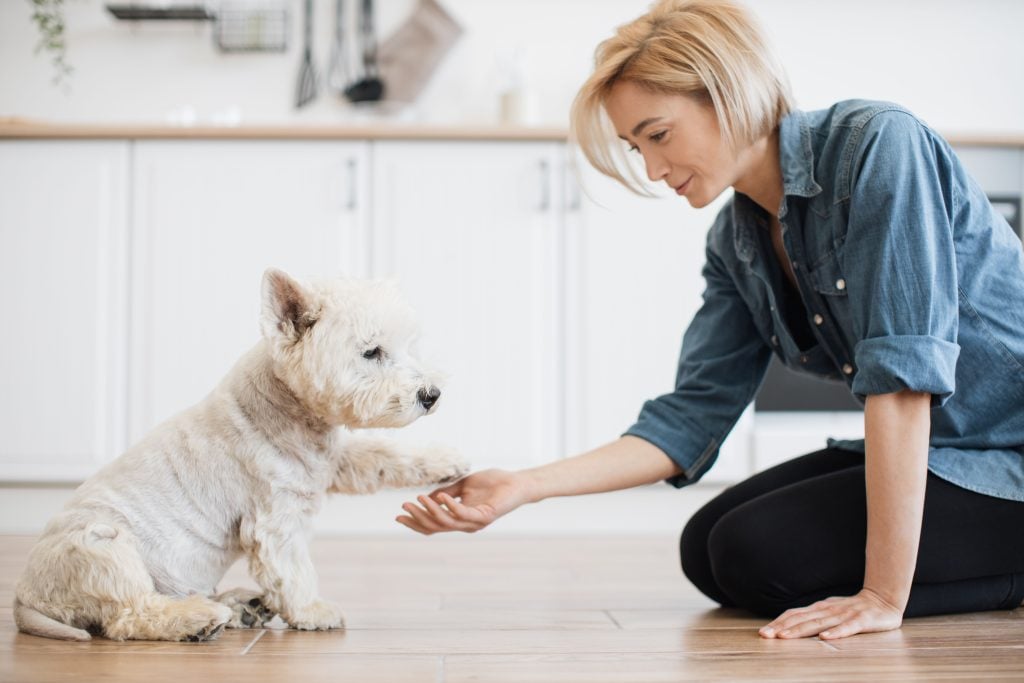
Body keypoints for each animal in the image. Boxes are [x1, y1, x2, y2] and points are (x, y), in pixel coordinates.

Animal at [12, 268, 468, 643]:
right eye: (371, 352)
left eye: (408, 347)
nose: (431, 395)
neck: (290, 409)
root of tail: (25, 598)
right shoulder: (275, 519)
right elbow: (292, 568)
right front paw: (312, 611)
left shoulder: (333, 462)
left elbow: (379, 454)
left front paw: (446, 462)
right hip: (103, 548)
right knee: (129, 615)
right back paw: (199, 619)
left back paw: (241, 608)